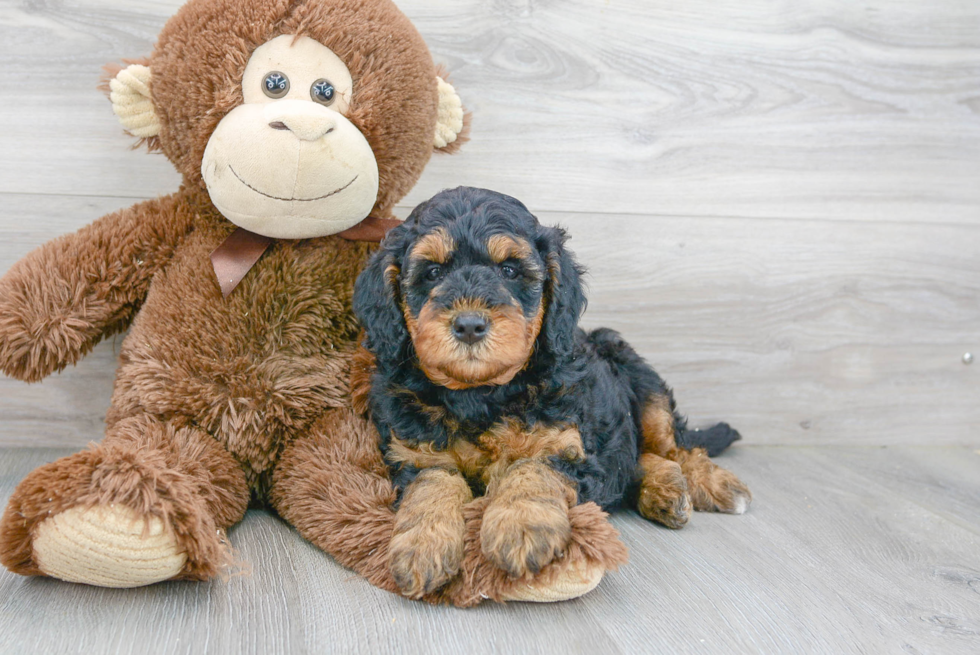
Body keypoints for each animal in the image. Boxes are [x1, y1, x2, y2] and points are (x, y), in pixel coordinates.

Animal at [352, 186, 752, 600]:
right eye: (432, 273)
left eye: (509, 270)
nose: (469, 325)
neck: (479, 393)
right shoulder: (415, 453)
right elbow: (431, 483)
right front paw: (422, 545)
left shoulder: (564, 442)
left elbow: (532, 468)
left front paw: (522, 526)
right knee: (638, 459)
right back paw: (665, 492)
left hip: (639, 378)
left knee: (675, 448)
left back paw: (714, 485)